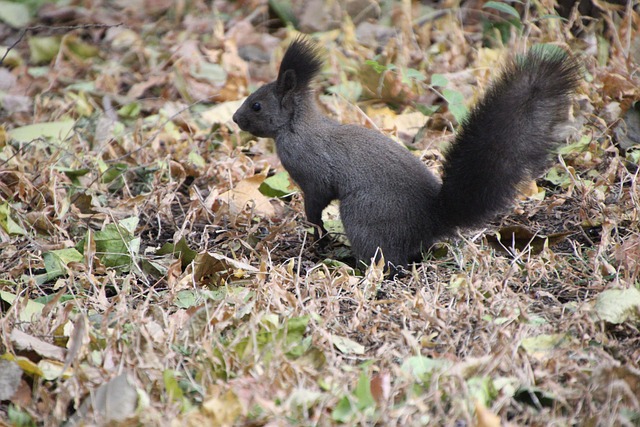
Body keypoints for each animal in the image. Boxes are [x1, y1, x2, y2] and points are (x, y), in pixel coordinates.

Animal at [232, 38, 584, 270]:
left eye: (256, 105)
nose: (235, 119)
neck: (296, 128)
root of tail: (431, 220)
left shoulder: (313, 174)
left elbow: (316, 204)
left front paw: (317, 235)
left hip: (363, 213)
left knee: (388, 261)